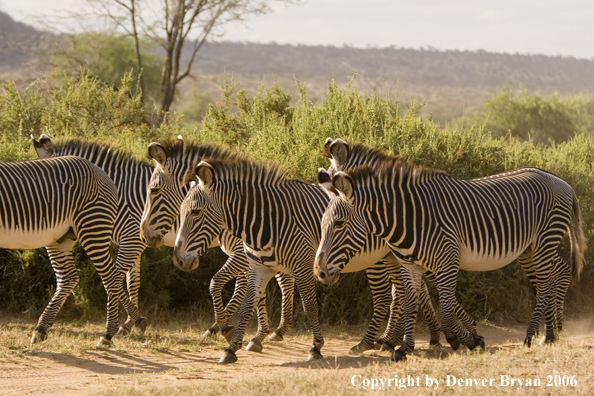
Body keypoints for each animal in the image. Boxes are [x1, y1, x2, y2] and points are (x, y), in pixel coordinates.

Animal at [0, 154, 143, 344]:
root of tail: (99, 170)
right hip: (60, 238)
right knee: (68, 277)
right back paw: (41, 329)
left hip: (93, 228)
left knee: (111, 277)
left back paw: (108, 333)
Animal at [32, 135, 258, 340]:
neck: (116, 193)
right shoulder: (135, 241)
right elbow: (132, 281)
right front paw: (131, 322)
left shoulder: (131, 240)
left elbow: (115, 277)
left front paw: (123, 324)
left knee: (242, 282)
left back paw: (220, 327)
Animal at [314, 148, 584, 362]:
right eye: (322, 222)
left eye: (339, 224)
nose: (319, 271)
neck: (411, 219)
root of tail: (562, 181)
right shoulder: (409, 265)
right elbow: (411, 304)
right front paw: (404, 348)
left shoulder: (447, 262)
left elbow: (445, 309)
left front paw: (468, 339)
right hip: (529, 249)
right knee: (553, 276)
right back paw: (551, 334)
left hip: (543, 242)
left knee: (546, 284)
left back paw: (534, 336)